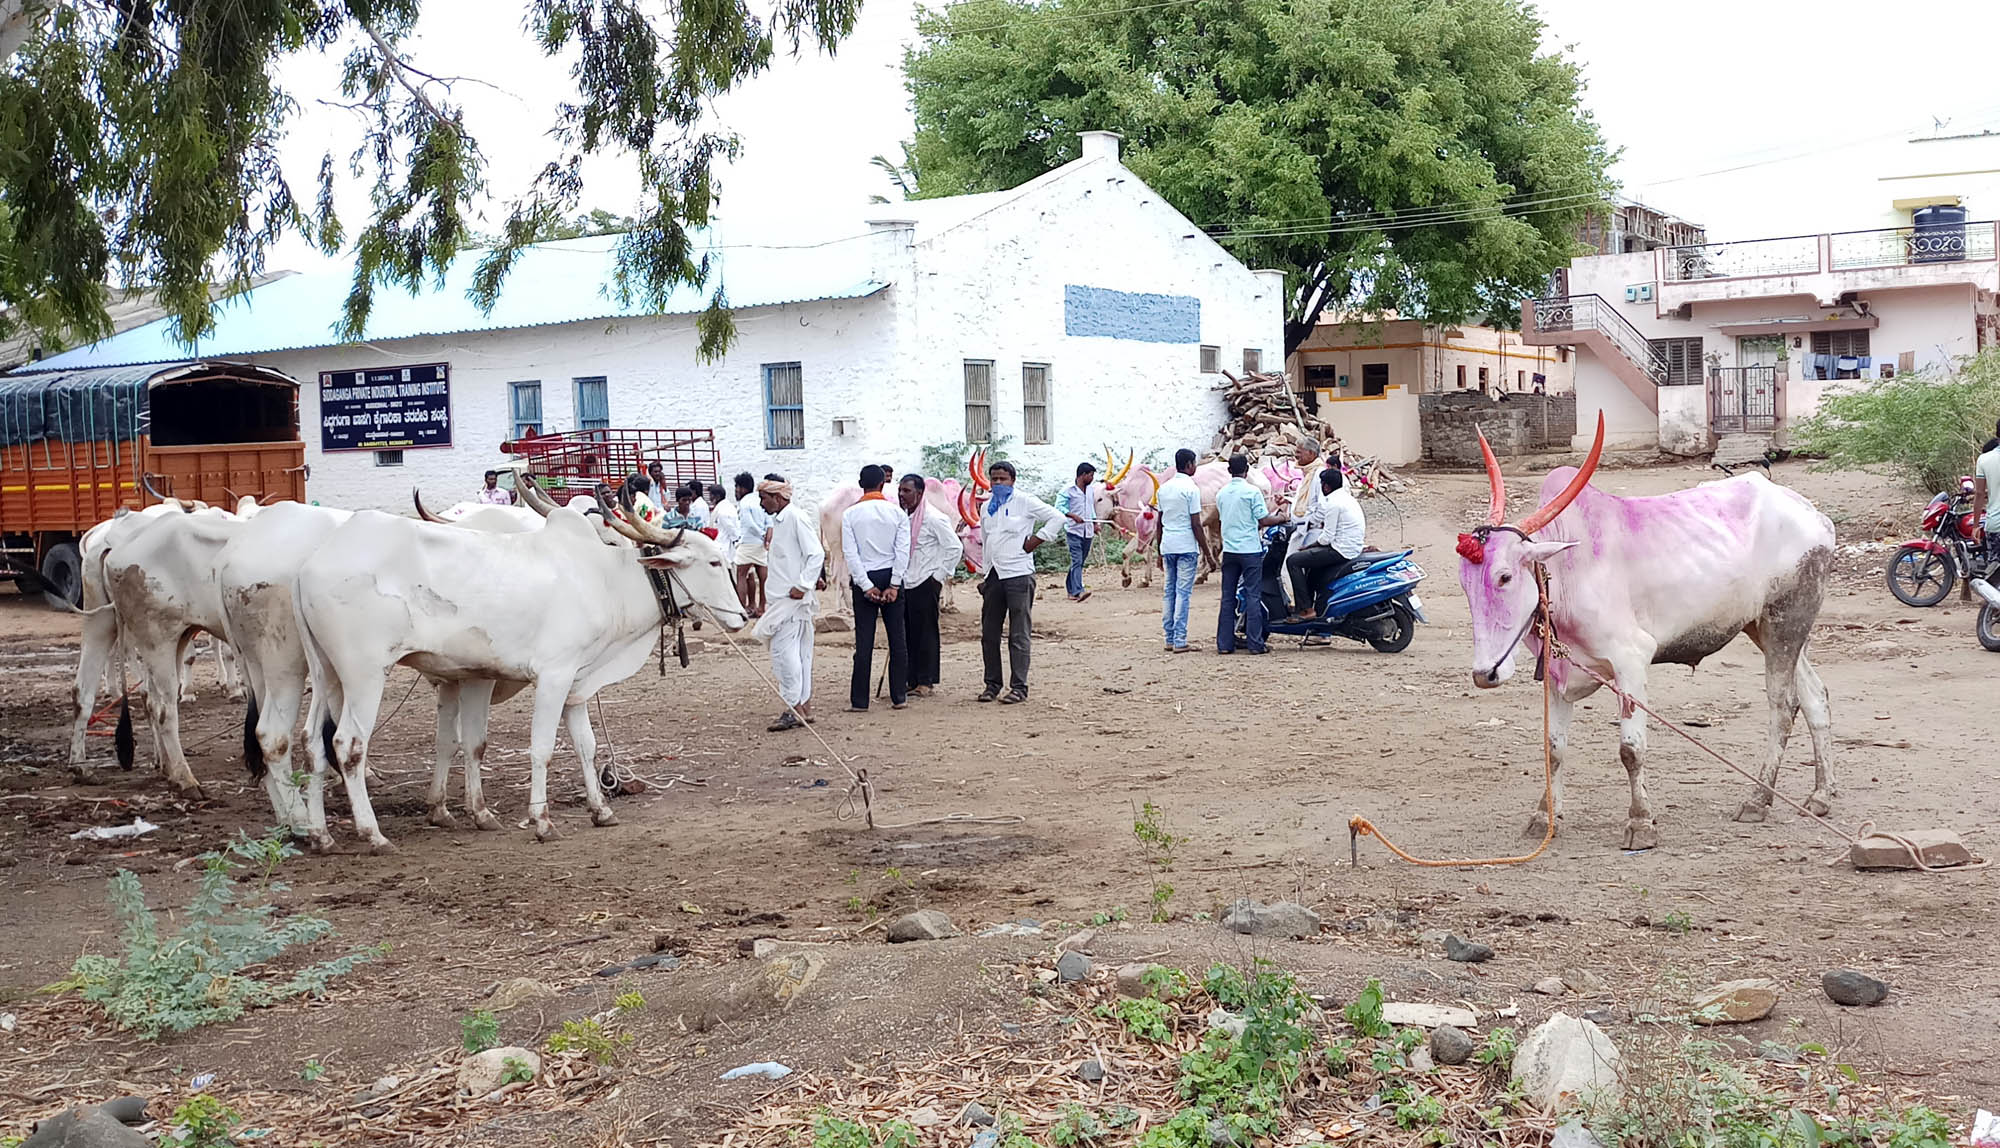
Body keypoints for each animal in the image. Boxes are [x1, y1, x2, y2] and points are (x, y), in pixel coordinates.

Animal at [1464, 418, 1832, 852]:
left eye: (1504, 576)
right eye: (1465, 582)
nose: (1484, 674)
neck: (1568, 572)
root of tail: (1816, 516)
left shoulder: (1631, 661)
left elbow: (1631, 749)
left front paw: (1640, 823)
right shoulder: (1557, 674)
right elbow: (1554, 749)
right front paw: (1543, 817)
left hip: (1785, 623)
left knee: (1783, 705)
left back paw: (1758, 800)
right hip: (1767, 627)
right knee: (1815, 696)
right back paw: (1821, 796)